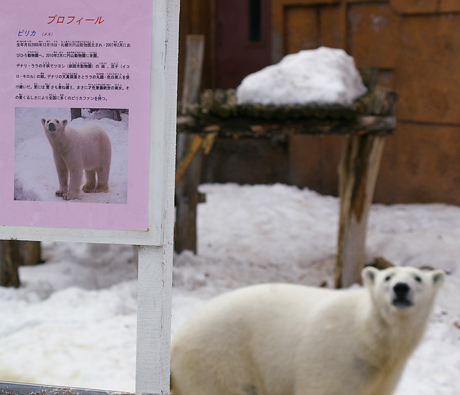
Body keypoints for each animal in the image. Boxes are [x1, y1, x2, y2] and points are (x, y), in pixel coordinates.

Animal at [171, 266, 444, 395]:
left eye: (418, 278)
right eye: (387, 277)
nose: (401, 288)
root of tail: (176, 341)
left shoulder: (383, 375)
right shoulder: (332, 358)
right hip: (220, 361)